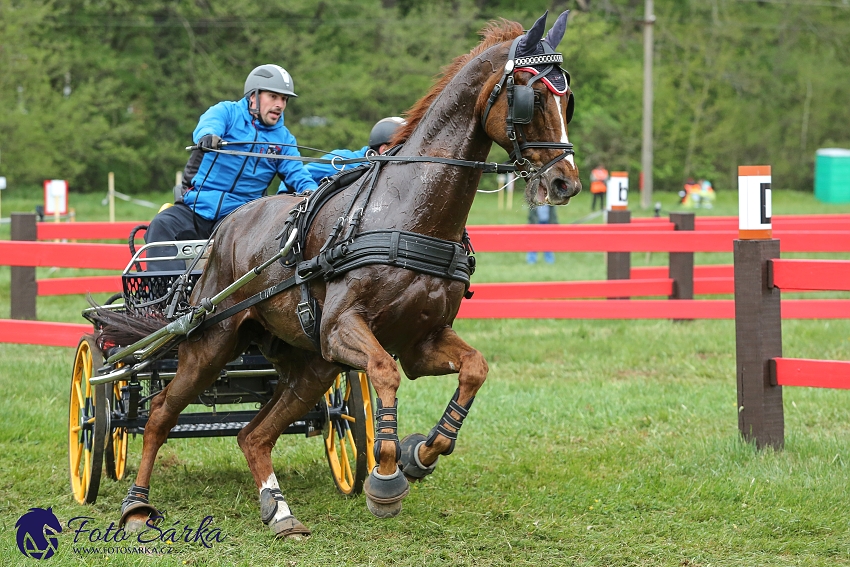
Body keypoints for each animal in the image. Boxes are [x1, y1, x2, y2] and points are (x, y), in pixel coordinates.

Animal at [117, 12, 576, 536]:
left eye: (568, 99)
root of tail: (221, 232)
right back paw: (136, 506)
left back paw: (279, 509)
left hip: (312, 367)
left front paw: (421, 454)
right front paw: (386, 477)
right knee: (159, 414)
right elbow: (384, 372)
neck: (407, 211)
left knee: (254, 433)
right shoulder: (343, 329)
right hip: (211, 345)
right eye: (531, 97)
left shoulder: (421, 341)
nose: (565, 181)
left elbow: (474, 369)